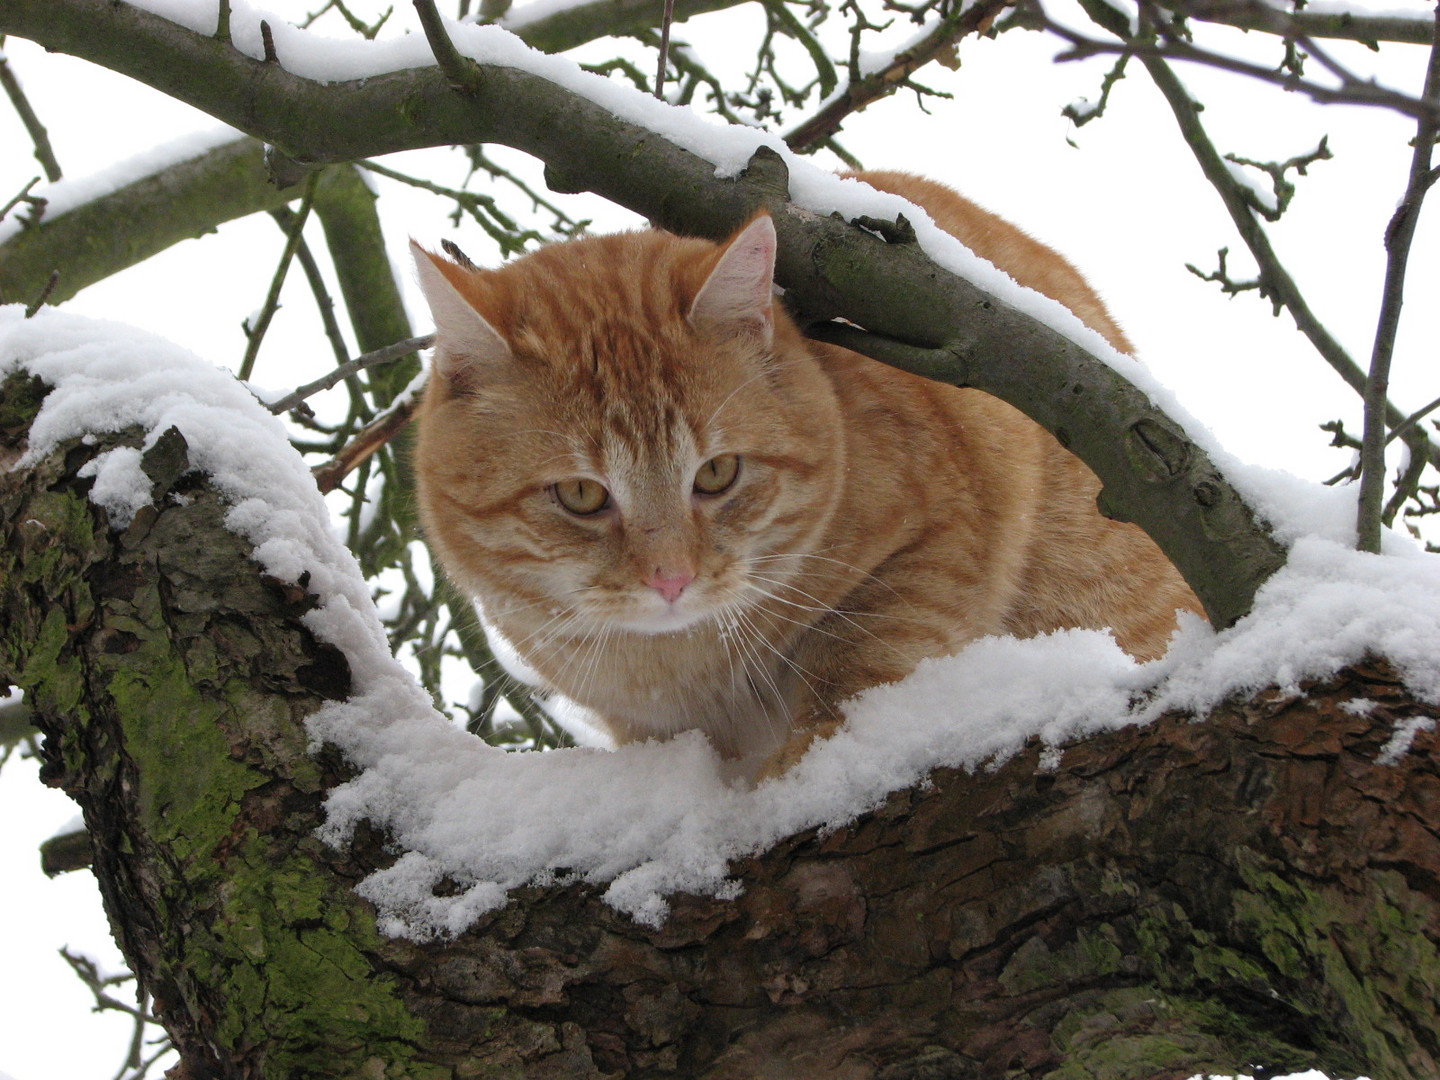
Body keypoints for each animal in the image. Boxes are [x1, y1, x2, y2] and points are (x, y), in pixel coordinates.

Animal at [411, 171, 1198, 771]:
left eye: (718, 474)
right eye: (579, 494)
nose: (672, 579)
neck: (678, 664)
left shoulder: (930, 548)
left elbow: (859, 666)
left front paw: (801, 768)